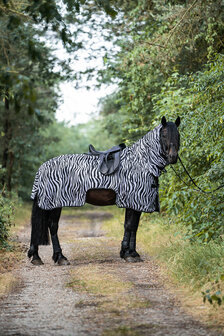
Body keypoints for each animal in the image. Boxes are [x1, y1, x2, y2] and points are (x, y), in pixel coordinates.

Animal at [27, 117, 180, 266]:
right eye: (164, 135)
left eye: (178, 135)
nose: (173, 157)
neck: (141, 163)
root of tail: (42, 168)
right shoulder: (133, 200)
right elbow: (129, 226)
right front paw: (127, 254)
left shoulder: (135, 203)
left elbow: (133, 227)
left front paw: (133, 253)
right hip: (56, 204)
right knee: (53, 227)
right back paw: (60, 257)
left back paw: (37, 257)